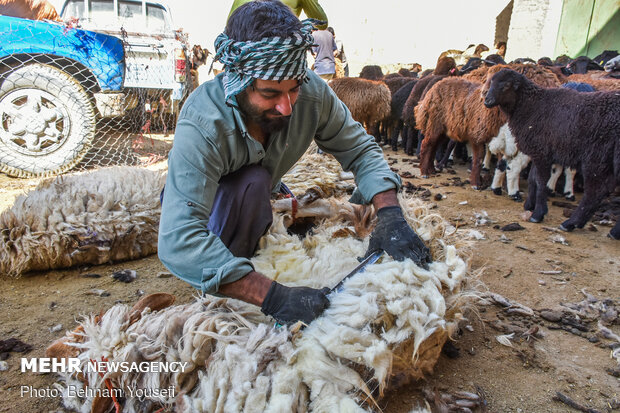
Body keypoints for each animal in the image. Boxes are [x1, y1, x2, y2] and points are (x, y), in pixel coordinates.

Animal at [484, 67, 620, 238]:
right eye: (491, 81)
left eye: (507, 85)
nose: (487, 101)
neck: (531, 105)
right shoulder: (539, 152)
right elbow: (533, 179)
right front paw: (530, 205)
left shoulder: (542, 152)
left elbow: (540, 181)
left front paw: (537, 213)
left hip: (596, 158)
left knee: (594, 193)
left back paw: (571, 223)